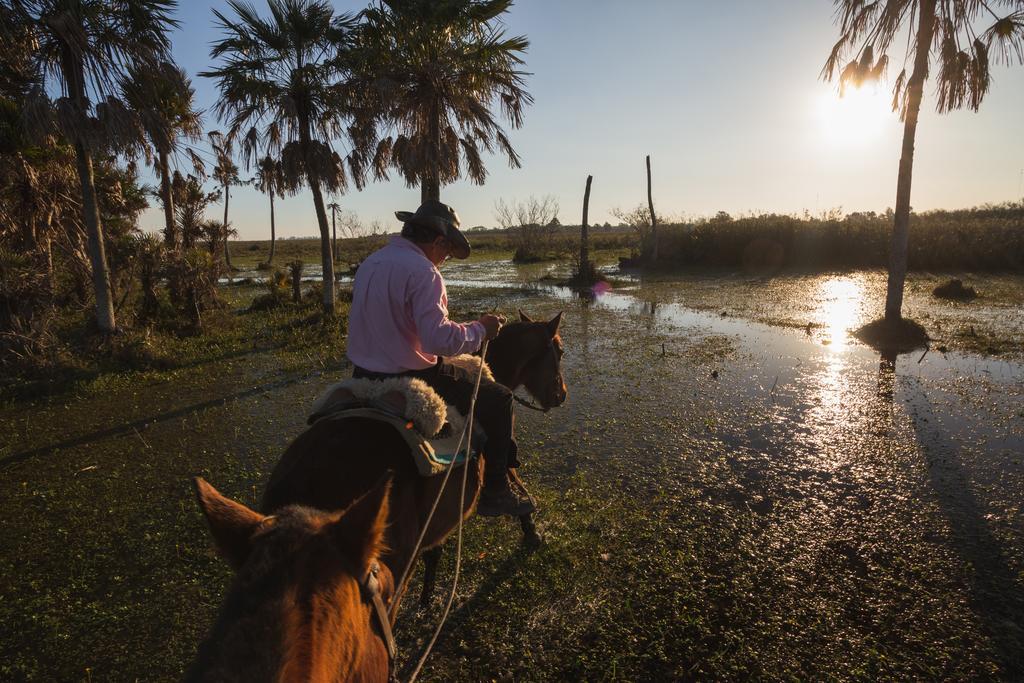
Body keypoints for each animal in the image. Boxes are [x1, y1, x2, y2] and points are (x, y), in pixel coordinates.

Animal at [260, 313, 565, 618]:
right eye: (559, 351)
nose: (561, 395)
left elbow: (434, 553)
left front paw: (427, 598)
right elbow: (512, 476)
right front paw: (530, 526)